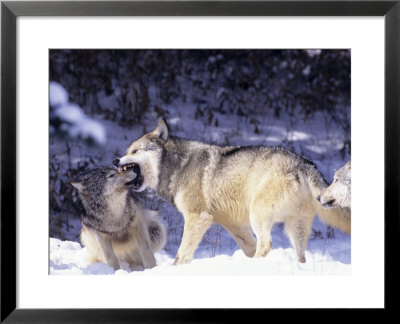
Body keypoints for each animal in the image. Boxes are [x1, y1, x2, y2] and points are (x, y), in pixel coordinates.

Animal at [114, 120, 352, 264]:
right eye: (127, 151)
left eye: (134, 151)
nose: (116, 160)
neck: (177, 167)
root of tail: (303, 163)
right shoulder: (233, 224)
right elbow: (249, 247)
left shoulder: (197, 218)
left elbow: (180, 255)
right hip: (295, 227)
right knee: (299, 255)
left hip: (258, 214)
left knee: (266, 244)